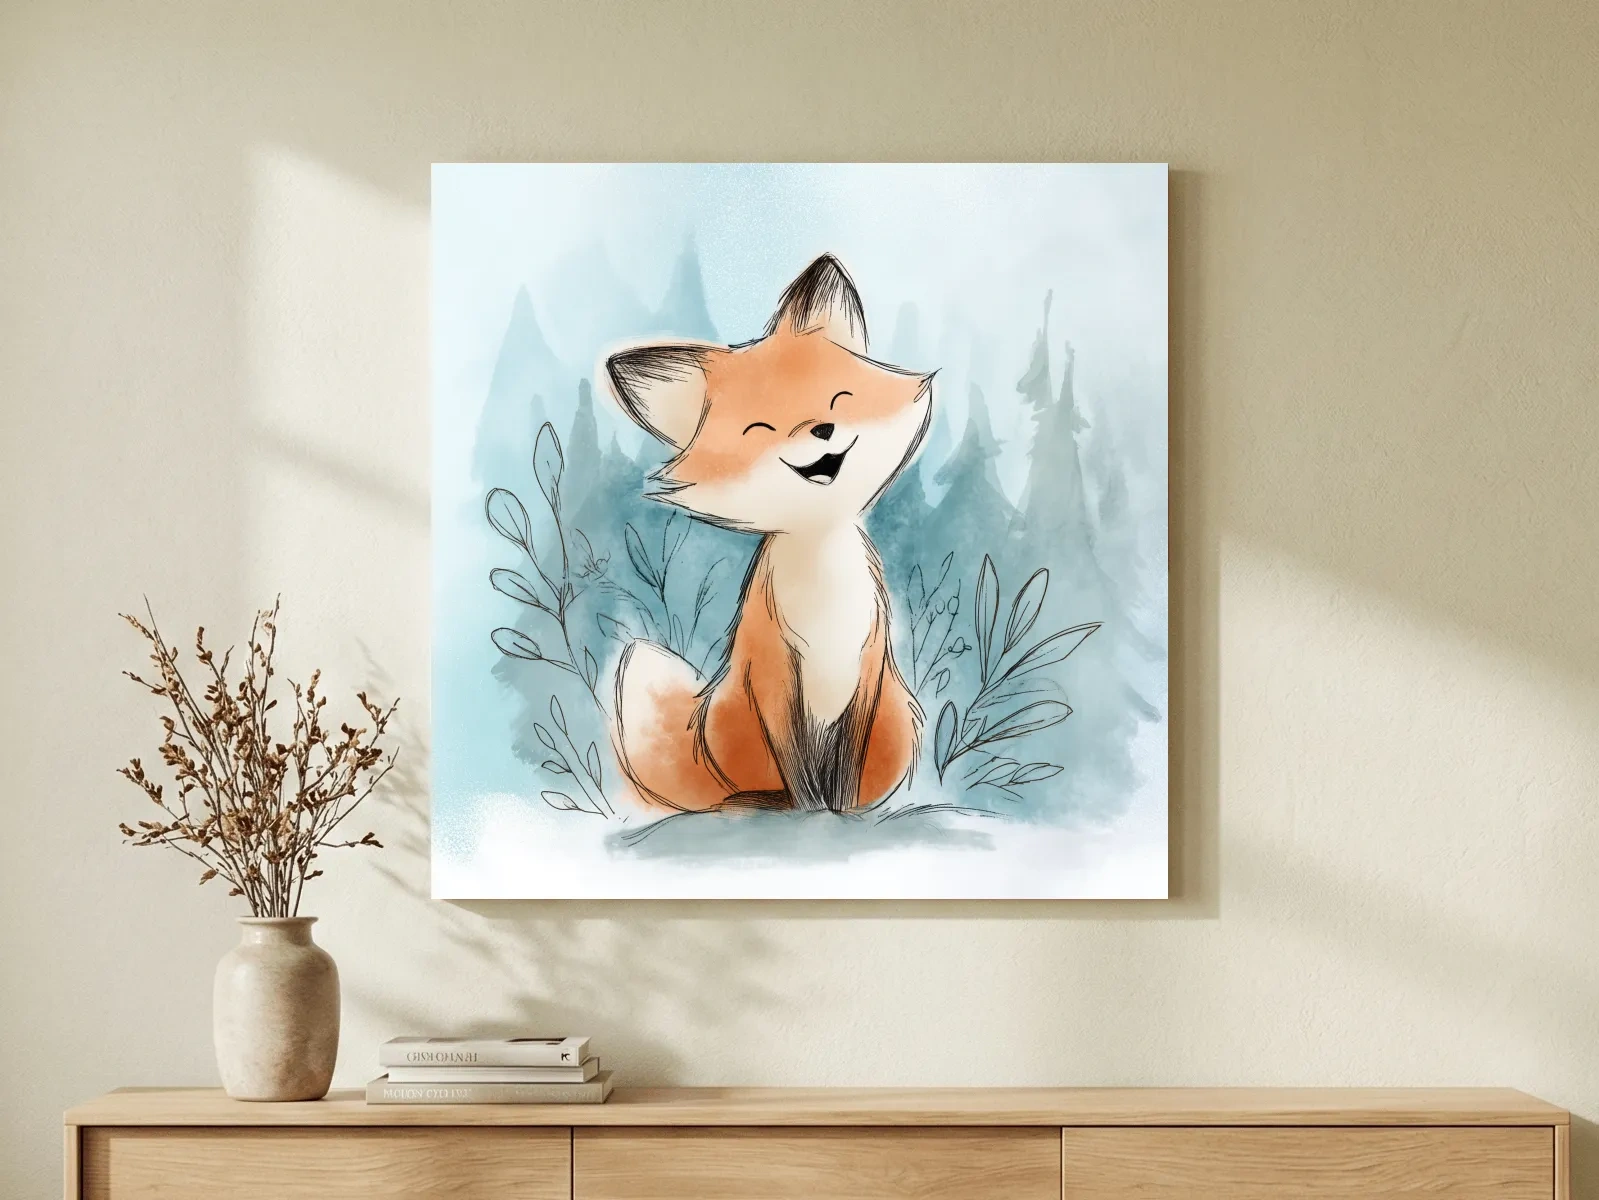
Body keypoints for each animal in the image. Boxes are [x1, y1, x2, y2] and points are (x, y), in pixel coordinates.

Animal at [603, 254, 933, 814]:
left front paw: (840, 813)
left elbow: (845, 773)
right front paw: (813, 813)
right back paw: (759, 801)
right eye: (761, 429)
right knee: (749, 791)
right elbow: (799, 772)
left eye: (839, 398)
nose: (821, 430)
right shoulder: (774, 673)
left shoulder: (868, 664)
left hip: (897, 720)